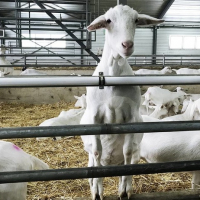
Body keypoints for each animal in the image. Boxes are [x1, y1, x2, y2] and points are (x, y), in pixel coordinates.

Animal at [79, 4, 163, 200]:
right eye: (108, 20)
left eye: (136, 20)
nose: (127, 45)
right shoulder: (95, 116)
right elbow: (97, 151)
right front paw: (97, 191)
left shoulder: (131, 117)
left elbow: (127, 152)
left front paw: (123, 190)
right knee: (94, 161)